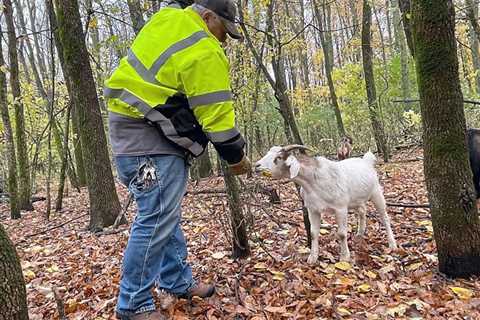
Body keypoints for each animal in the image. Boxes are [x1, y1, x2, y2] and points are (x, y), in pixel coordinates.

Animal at [255, 145, 398, 262]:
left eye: (278, 157)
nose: (257, 165)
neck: (313, 181)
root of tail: (366, 161)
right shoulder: (313, 209)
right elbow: (313, 233)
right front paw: (312, 258)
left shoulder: (340, 208)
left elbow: (341, 234)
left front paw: (344, 257)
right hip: (357, 200)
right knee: (362, 211)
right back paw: (359, 235)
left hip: (376, 193)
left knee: (385, 217)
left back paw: (392, 244)